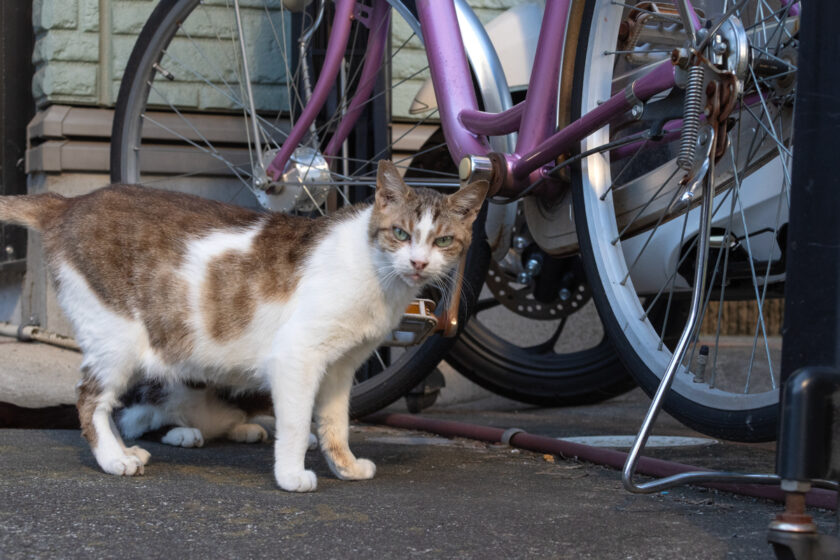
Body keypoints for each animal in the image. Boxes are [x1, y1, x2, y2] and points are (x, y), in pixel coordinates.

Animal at [1, 161, 486, 490]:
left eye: (444, 240)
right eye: (400, 234)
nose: (419, 263)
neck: (375, 270)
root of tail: (70, 202)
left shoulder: (341, 367)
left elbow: (335, 423)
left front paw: (345, 466)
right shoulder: (297, 356)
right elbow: (296, 424)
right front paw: (291, 474)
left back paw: (131, 448)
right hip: (116, 336)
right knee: (92, 400)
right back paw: (114, 459)